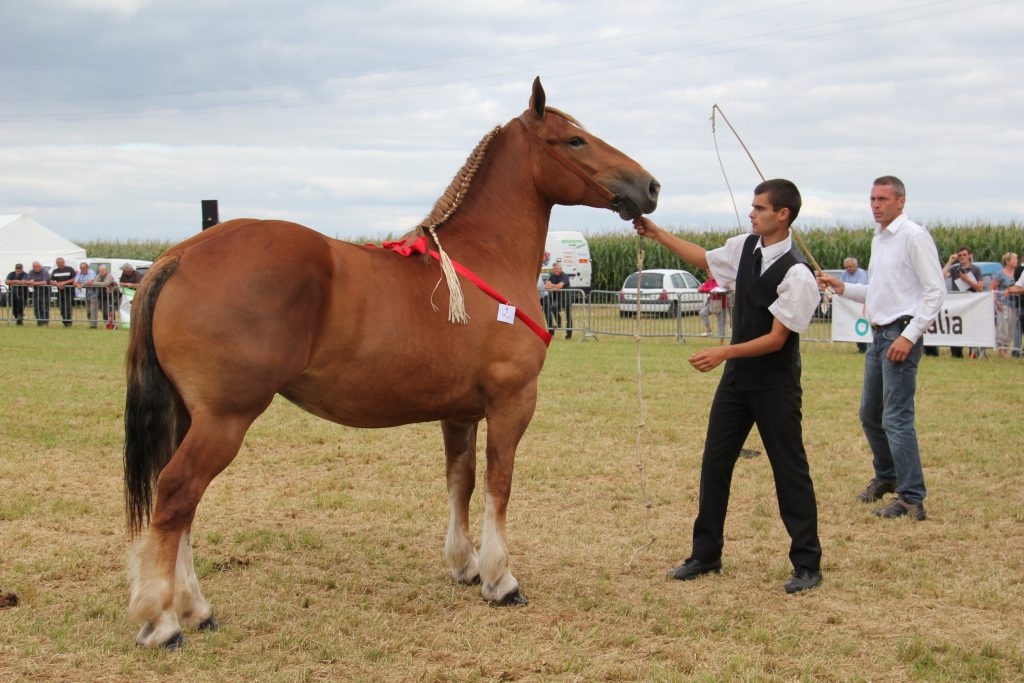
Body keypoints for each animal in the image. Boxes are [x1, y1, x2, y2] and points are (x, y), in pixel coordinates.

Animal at [123, 77, 660, 649]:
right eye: (575, 141)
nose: (650, 187)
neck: (484, 258)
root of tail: (180, 256)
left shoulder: (460, 413)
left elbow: (461, 480)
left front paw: (465, 566)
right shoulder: (511, 402)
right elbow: (499, 484)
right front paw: (501, 580)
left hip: (190, 417)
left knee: (180, 505)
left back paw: (195, 609)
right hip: (224, 419)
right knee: (176, 494)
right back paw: (164, 621)